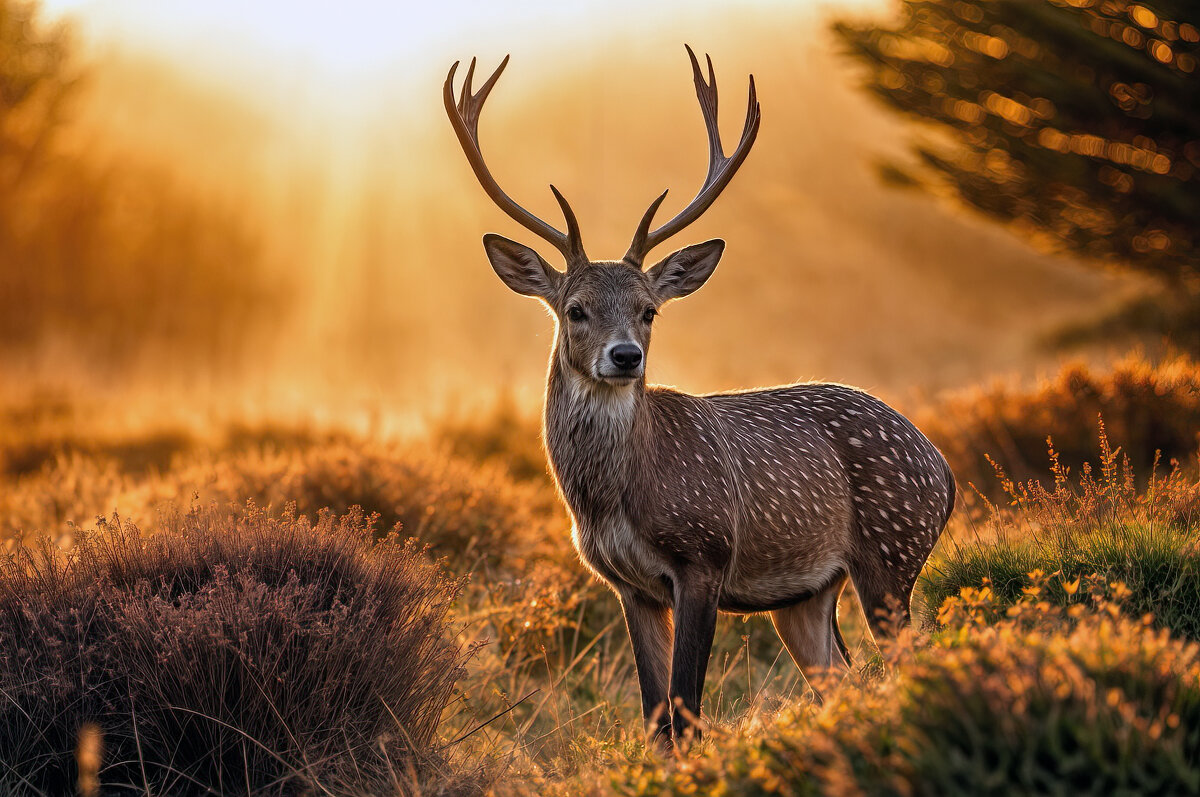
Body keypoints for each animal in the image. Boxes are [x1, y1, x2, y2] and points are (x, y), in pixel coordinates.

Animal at [444, 48, 955, 748]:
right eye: (575, 309)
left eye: (649, 310)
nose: (625, 356)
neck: (612, 501)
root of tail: (943, 469)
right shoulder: (627, 585)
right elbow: (656, 715)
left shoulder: (704, 555)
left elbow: (685, 711)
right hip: (808, 594)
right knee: (845, 680)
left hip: (893, 548)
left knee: (910, 661)